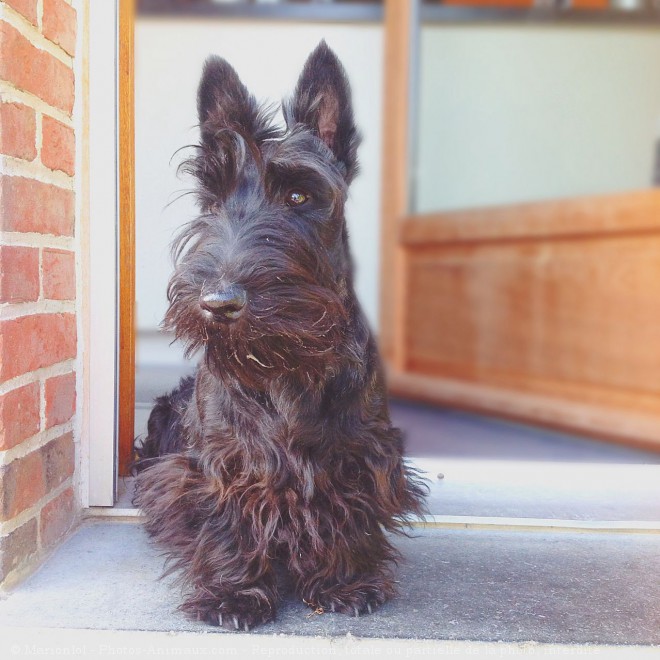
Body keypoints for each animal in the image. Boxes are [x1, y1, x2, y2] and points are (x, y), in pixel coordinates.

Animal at [134, 41, 428, 628]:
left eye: (298, 196)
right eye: (214, 200)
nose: (218, 304)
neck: (284, 362)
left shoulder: (359, 456)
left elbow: (348, 513)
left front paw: (344, 581)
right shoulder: (218, 465)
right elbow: (227, 518)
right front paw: (233, 593)